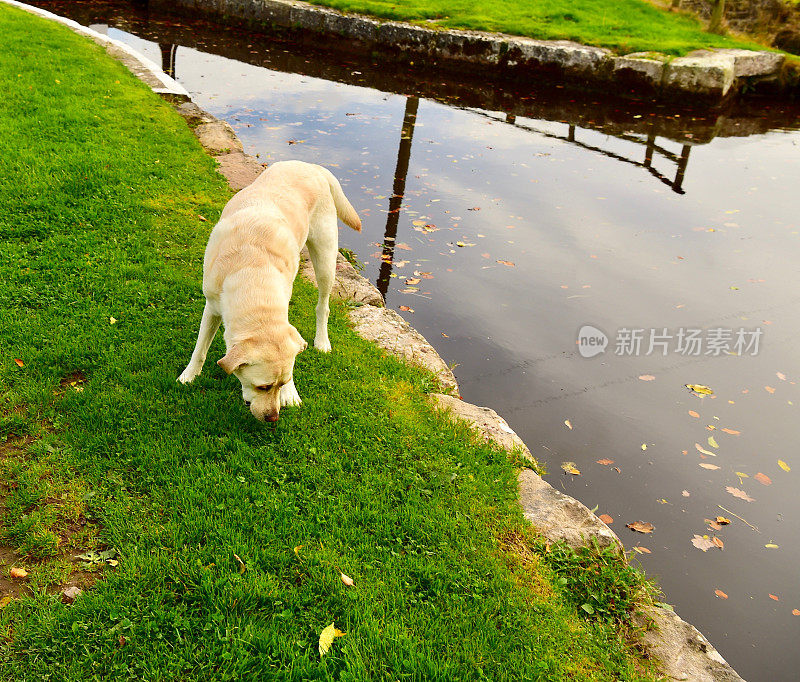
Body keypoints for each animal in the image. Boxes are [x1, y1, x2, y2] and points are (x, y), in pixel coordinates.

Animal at [179, 160, 362, 420]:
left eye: (282, 382)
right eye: (263, 387)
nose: (273, 417)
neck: (252, 270)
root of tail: (311, 165)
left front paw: (291, 394)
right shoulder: (212, 306)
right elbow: (200, 348)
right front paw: (189, 375)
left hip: (326, 259)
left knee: (323, 306)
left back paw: (322, 341)